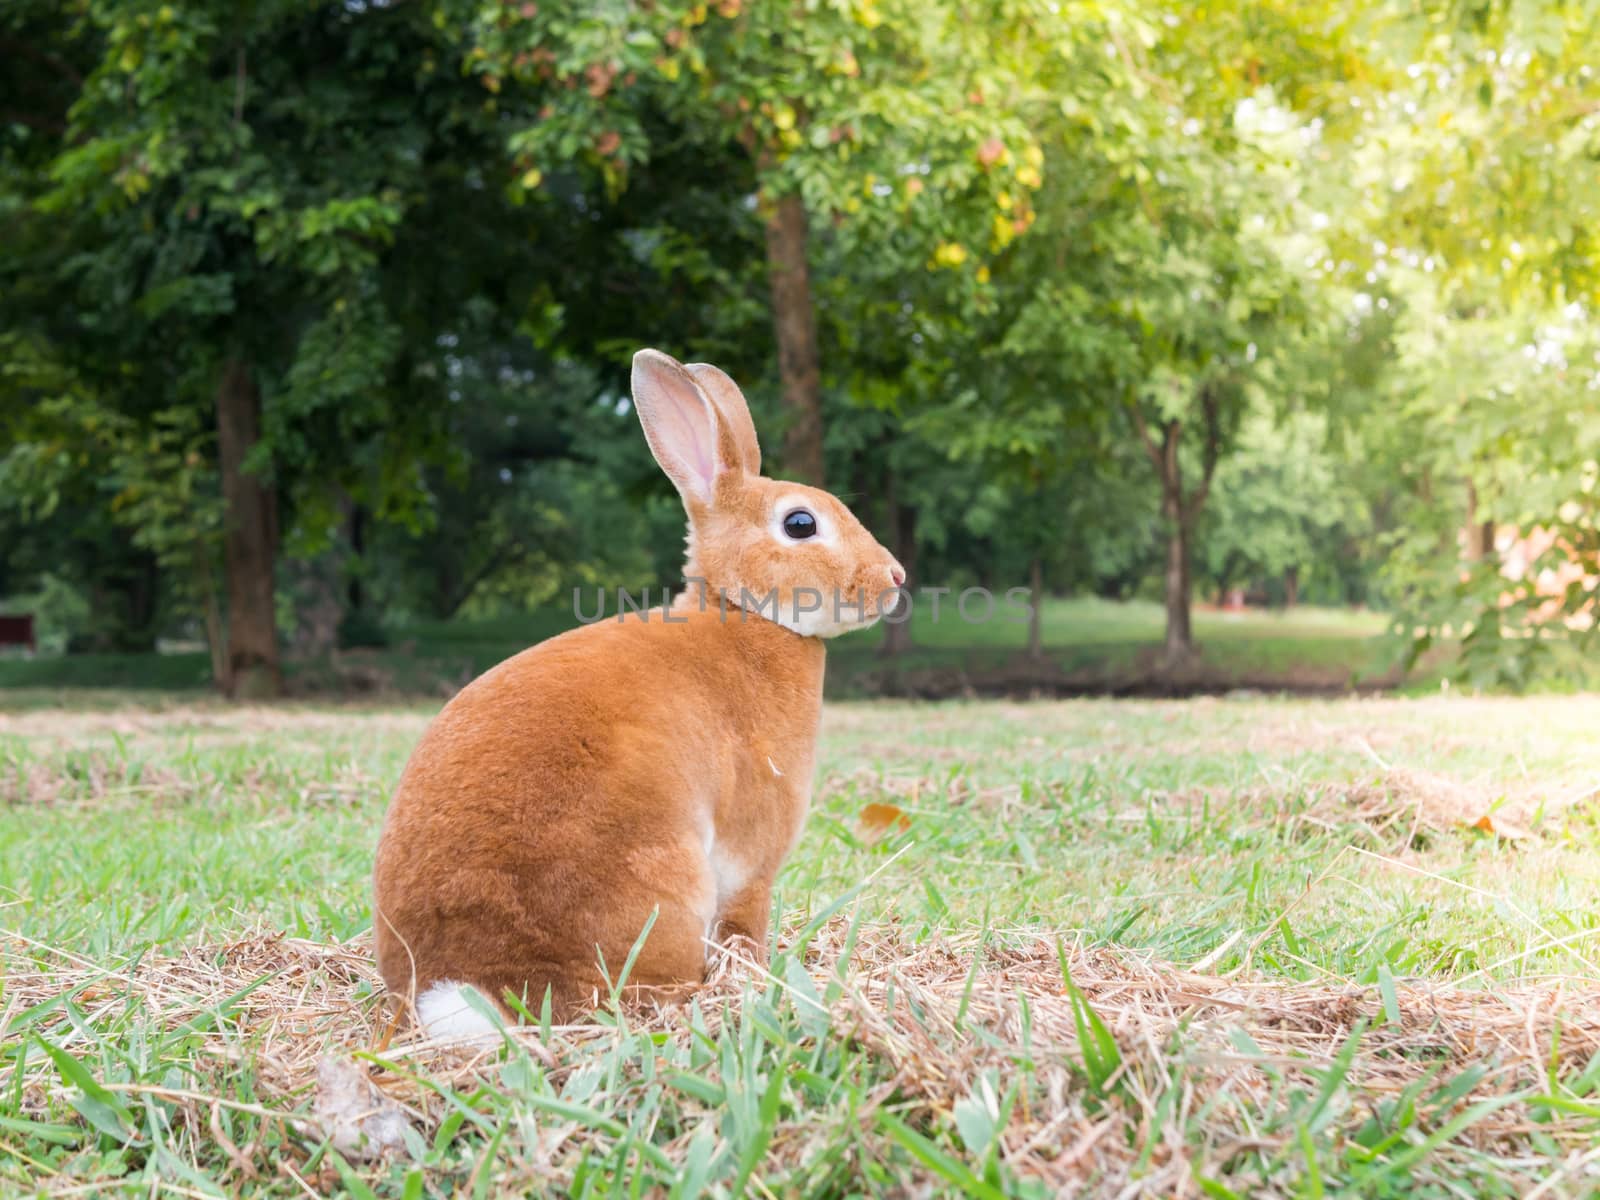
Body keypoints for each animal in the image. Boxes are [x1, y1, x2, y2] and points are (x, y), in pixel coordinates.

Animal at [366, 347, 908, 1036]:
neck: (744, 614)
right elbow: (746, 924)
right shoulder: (753, 858)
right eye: (800, 523)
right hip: (660, 879)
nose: (894, 578)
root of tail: (483, 987)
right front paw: (755, 975)